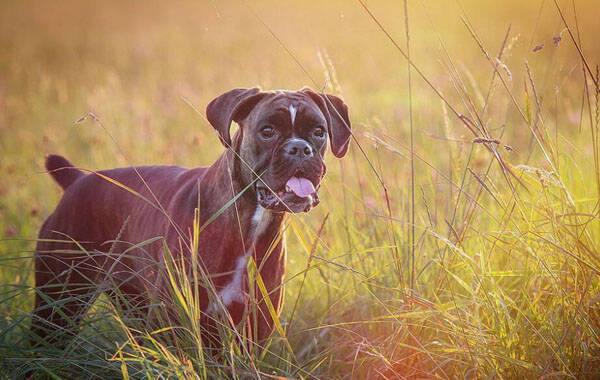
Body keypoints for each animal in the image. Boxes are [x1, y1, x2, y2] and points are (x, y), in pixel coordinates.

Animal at [30, 87, 352, 348]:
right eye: (268, 130)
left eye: (319, 132)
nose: (299, 148)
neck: (246, 222)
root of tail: (77, 180)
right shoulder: (174, 323)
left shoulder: (254, 329)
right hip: (58, 303)